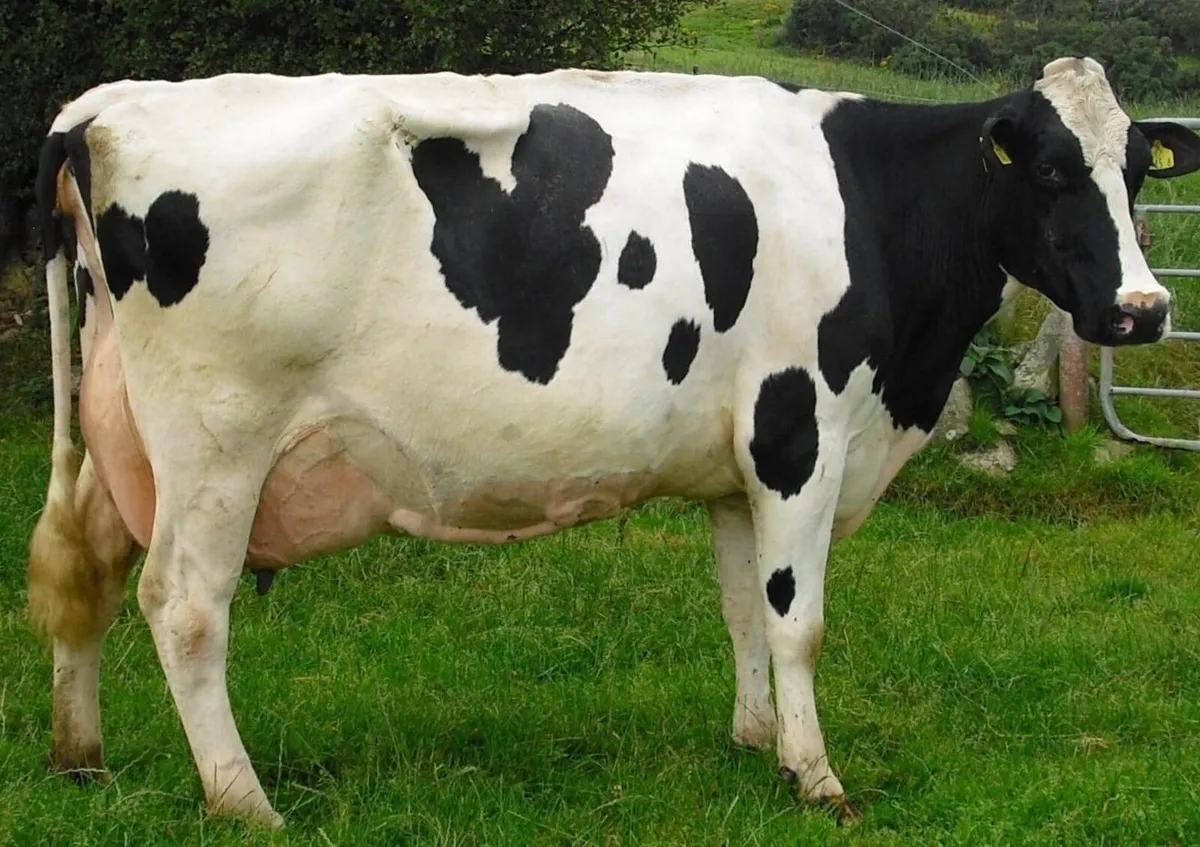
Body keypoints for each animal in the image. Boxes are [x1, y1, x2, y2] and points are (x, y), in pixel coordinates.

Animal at [28, 57, 1200, 827]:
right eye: (1048, 171)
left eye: (1138, 168)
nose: (1143, 311)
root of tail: (102, 105)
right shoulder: (801, 434)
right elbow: (798, 620)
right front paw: (818, 775)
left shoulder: (736, 464)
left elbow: (741, 606)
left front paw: (757, 744)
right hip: (215, 442)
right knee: (184, 606)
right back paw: (243, 800)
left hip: (118, 429)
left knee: (85, 574)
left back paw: (81, 758)